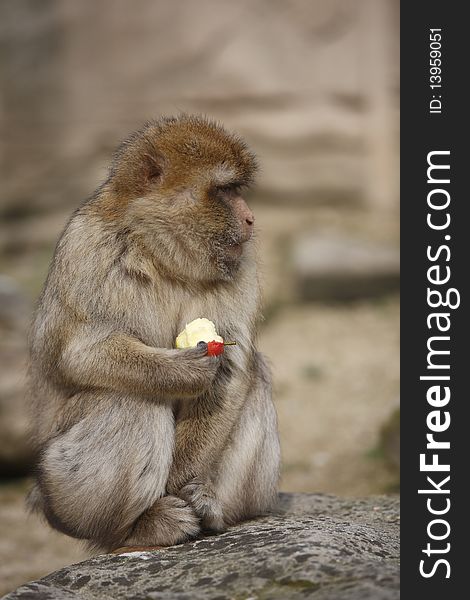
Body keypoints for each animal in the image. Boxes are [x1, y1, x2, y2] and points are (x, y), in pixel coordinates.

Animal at [27, 115, 280, 552]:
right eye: (226, 191)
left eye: (237, 191)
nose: (250, 219)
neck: (159, 253)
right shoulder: (89, 249)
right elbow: (83, 353)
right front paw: (183, 372)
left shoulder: (239, 266)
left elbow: (231, 372)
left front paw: (184, 484)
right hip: (63, 490)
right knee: (131, 397)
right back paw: (137, 528)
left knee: (255, 376)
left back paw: (213, 508)